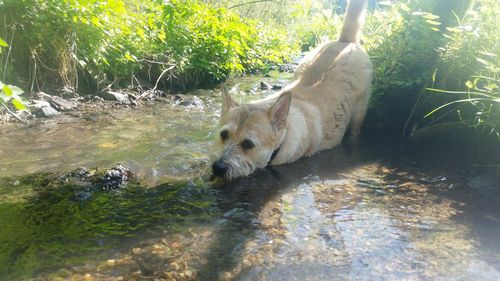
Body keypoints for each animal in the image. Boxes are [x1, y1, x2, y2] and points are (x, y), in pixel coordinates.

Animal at [210, 0, 372, 178]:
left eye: (248, 144)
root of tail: (346, 41)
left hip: (360, 109)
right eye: (223, 134)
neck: (285, 133)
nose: (218, 167)